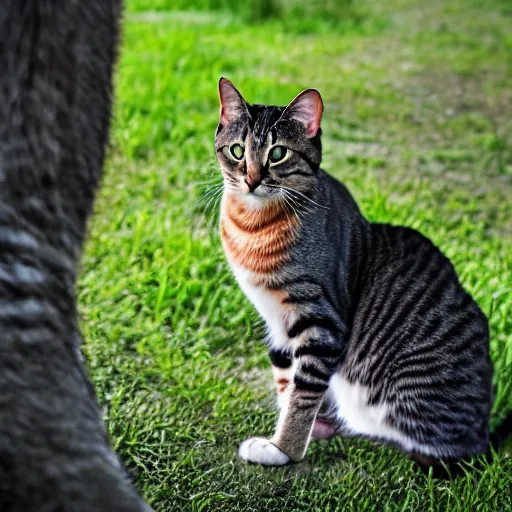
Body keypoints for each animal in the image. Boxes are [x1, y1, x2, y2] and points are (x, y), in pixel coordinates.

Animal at [215, 77, 496, 472]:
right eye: (238, 151)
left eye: (277, 153)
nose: (252, 180)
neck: (252, 226)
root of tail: (484, 432)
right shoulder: (275, 321)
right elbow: (287, 381)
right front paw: (300, 430)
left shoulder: (321, 322)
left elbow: (303, 394)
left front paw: (284, 448)